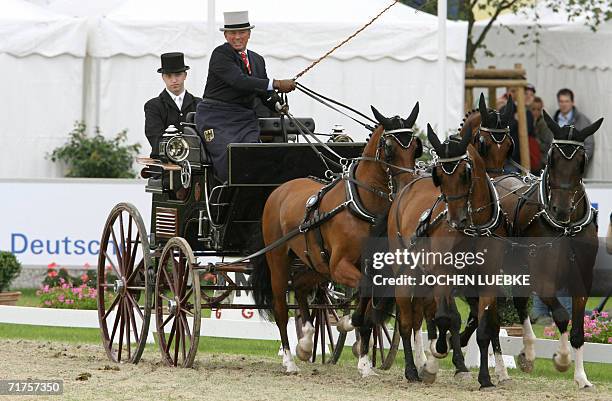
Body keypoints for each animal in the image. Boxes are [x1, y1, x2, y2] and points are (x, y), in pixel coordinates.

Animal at [249, 102, 420, 372]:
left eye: (415, 148)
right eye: (389, 148)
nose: (408, 186)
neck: (361, 205)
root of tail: (279, 190)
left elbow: (369, 298)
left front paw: (364, 360)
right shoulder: (340, 265)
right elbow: (364, 289)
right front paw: (351, 323)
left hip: (316, 264)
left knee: (301, 288)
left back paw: (307, 341)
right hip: (279, 259)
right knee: (280, 308)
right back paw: (289, 360)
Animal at [390, 124, 510, 388]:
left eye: (466, 173)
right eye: (441, 177)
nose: (456, 220)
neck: (475, 226)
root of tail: (407, 186)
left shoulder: (487, 278)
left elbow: (482, 329)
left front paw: (485, 378)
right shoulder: (443, 273)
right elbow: (445, 318)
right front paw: (435, 358)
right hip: (406, 271)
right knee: (407, 321)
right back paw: (413, 369)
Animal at [498, 110, 604, 388]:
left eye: (581, 161)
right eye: (552, 159)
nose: (561, 209)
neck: (565, 227)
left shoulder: (582, 279)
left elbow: (578, 330)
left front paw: (581, 377)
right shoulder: (542, 278)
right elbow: (561, 315)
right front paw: (561, 359)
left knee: (518, 301)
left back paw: (527, 353)